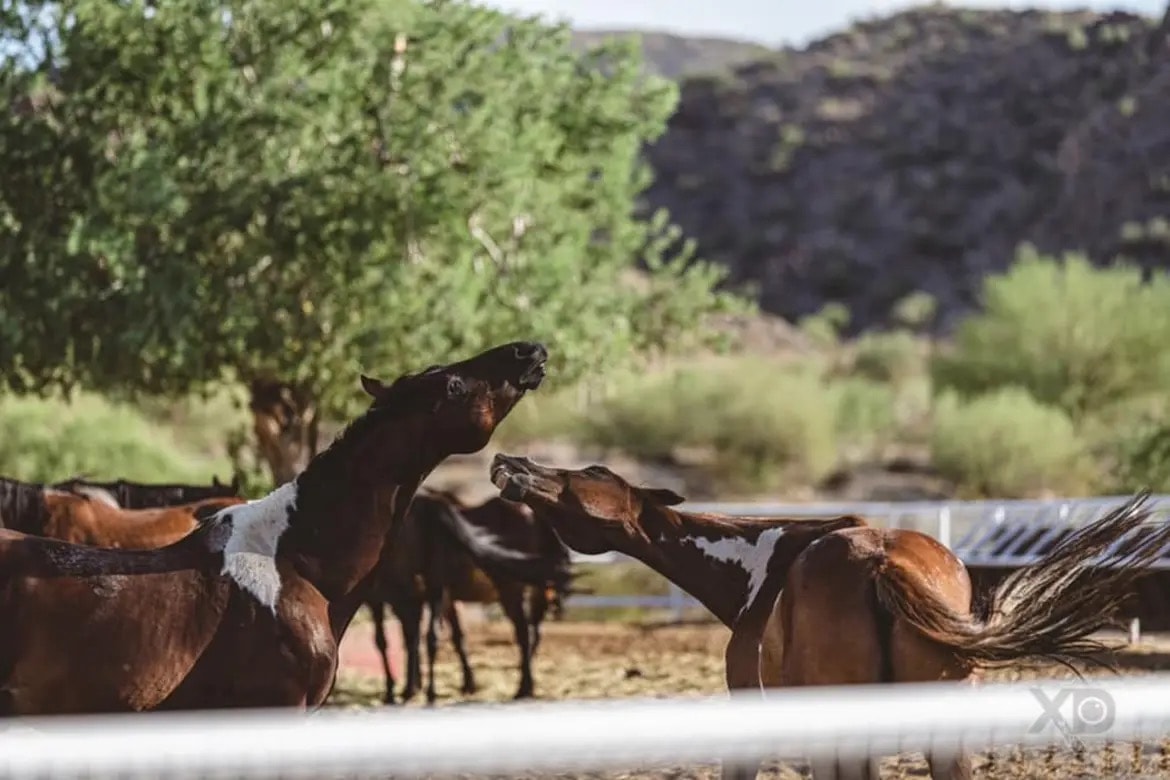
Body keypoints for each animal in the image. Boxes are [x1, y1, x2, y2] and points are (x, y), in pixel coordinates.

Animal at [367, 490, 574, 704]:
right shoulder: (436, 598)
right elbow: (450, 637)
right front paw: (462, 684)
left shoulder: (402, 598)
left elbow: (401, 639)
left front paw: (403, 689)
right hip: (536, 590)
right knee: (534, 632)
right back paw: (527, 684)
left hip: (511, 589)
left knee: (524, 633)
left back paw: (522, 688)